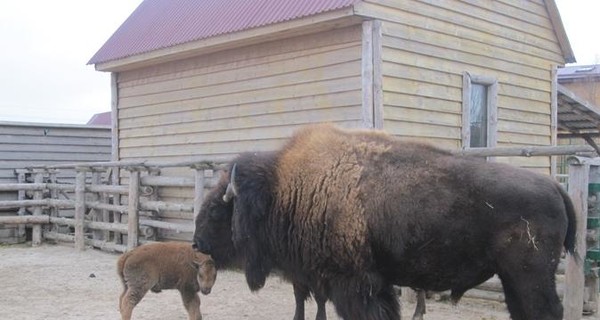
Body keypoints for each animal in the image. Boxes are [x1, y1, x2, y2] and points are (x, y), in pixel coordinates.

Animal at [192, 124, 576, 318]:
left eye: (216, 211)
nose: (196, 243)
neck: (285, 189)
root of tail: (556, 186)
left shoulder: (353, 283)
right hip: (514, 278)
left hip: (530, 276)